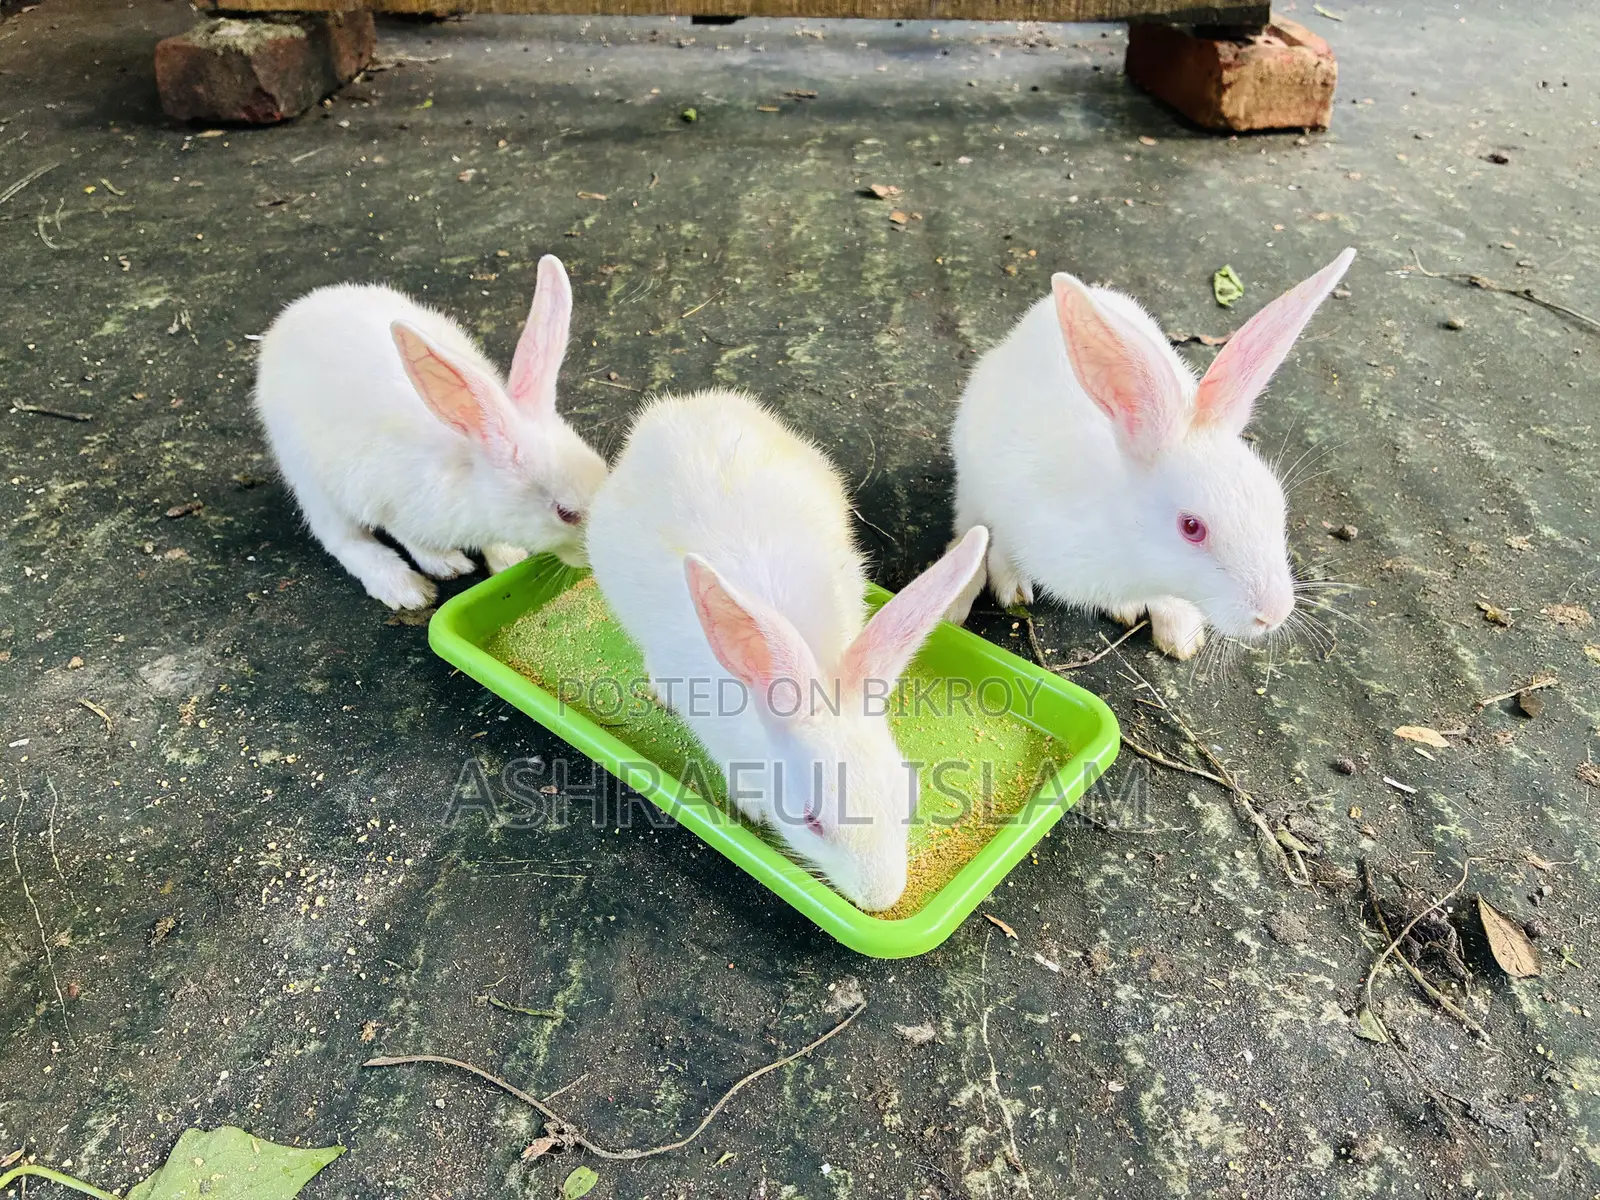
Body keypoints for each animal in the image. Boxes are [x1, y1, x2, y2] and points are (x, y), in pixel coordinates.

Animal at [253, 255, 608, 611]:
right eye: (565, 514)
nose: (595, 558)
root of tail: (292, 315)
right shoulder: (385, 496)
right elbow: (408, 536)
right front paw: (445, 565)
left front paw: (508, 559)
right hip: (311, 481)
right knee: (342, 539)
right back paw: (403, 588)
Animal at [946, 248, 1356, 659]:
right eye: (1191, 527)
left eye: (1276, 503)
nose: (1273, 614)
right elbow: (997, 542)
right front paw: (1009, 586)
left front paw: (1182, 636)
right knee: (969, 527)